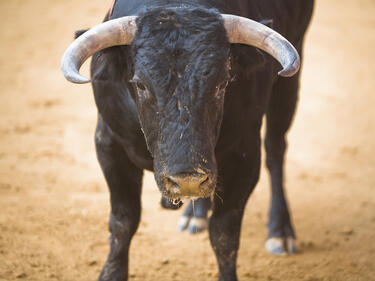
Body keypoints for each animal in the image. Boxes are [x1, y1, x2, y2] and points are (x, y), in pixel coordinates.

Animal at [62, 0, 314, 280]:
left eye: (222, 83)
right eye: (140, 85)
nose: (187, 179)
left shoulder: (245, 153)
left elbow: (224, 234)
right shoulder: (109, 143)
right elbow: (123, 221)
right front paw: (111, 273)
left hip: (289, 76)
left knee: (275, 148)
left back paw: (280, 231)